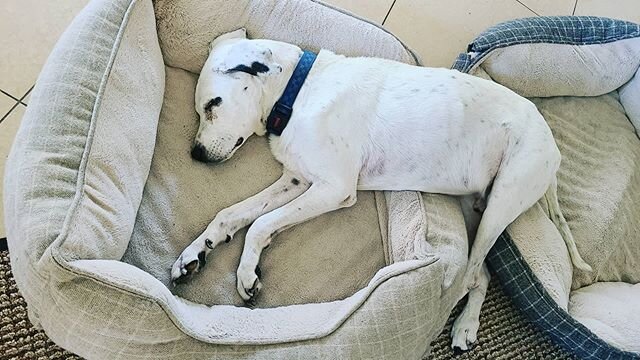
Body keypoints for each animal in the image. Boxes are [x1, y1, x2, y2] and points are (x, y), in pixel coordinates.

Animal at [171, 28, 592, 352]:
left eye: (213, 104)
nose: (196, 154)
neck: (300, 92)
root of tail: (552, 143)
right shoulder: (298, 180)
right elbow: (233, 214)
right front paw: (196, 252)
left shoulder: (334, 188)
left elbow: (259, 225)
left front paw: (246, 273)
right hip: (478, 210)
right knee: (482, 274)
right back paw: (467, 325)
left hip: (502, 203)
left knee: (469, 276)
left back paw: (460, 322)